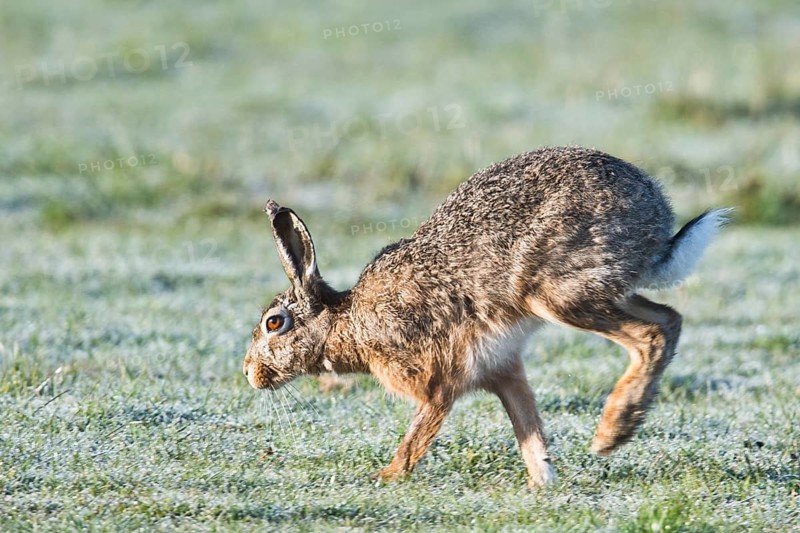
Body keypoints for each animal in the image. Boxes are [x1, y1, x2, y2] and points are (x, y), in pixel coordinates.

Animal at [243, 146, 730, 488]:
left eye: (274, 323)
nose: (249, 373)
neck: (344, 322)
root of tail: (657, 222)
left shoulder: (437, 379)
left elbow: (417, 434)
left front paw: (385, 477)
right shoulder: (504, 369)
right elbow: (529, 432)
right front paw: (544, 484)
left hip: (557, 294)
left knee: (650, 334)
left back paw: (613, 430)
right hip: (599, 292)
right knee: (669, 318)